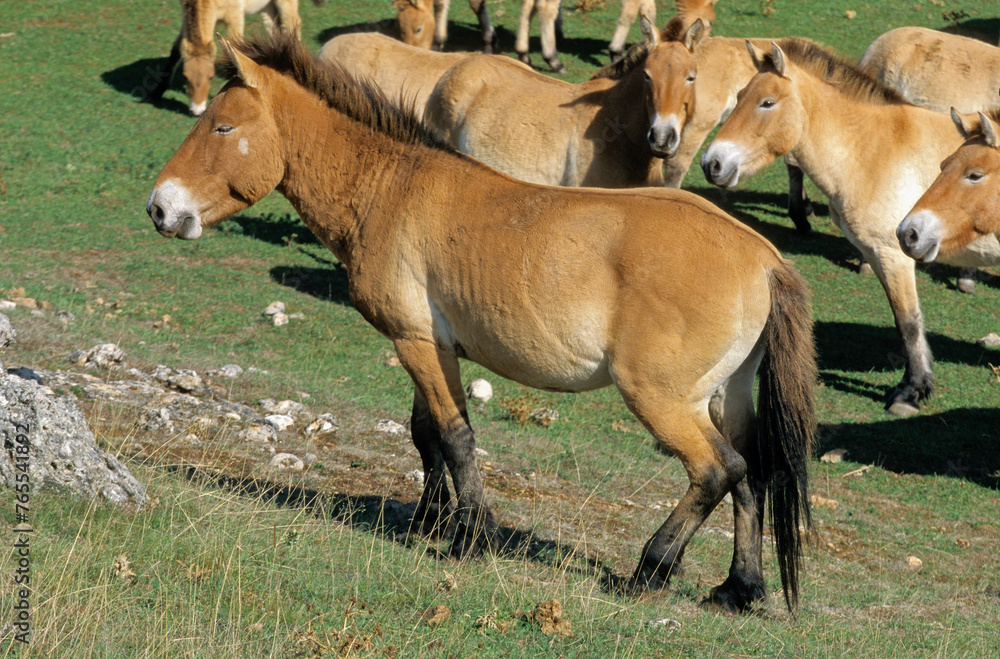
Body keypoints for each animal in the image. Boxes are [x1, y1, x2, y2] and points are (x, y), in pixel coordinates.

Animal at [149, 0, 316, 116]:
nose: (197, 111)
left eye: (211, 77)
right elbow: (175, 51)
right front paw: (158, 91)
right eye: (185, 76)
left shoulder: (234, 17)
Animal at [700, 39, 971, 416]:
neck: (873, 148)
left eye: (767, 102)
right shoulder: (876, 254)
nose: (712, 164)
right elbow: (901, 320)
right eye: (739, 96)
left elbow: (909, 322)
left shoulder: (895, 255)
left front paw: (910, 392)